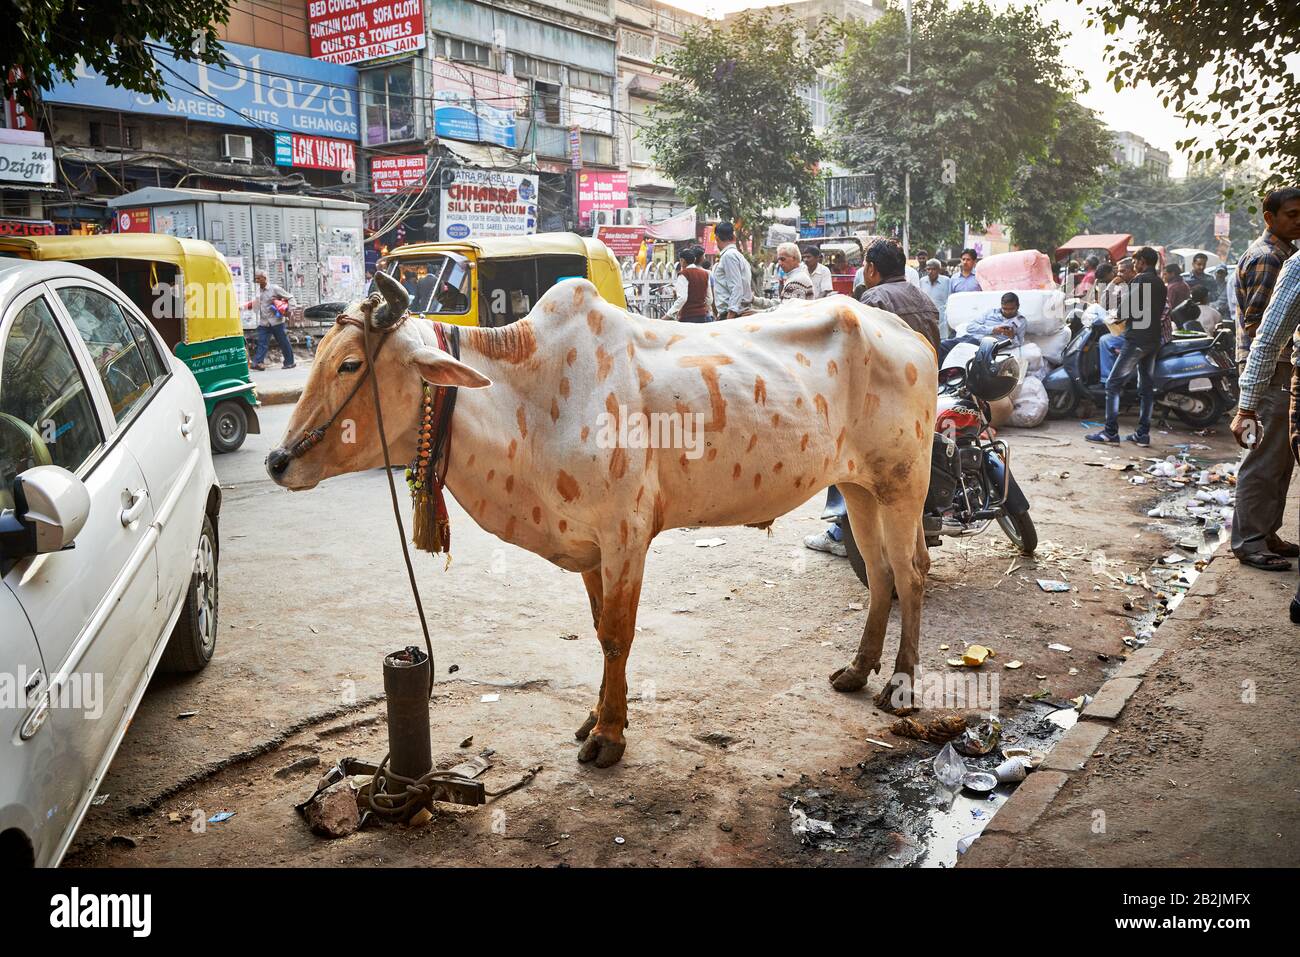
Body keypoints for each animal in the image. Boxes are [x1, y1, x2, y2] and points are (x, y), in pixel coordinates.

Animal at [266, 273, 935, 764]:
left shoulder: (625, 537)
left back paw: (900, 685)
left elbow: (617, 635)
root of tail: (910, 334)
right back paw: (858, 669)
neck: (527, 397)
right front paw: (594, 716)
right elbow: (597, 631)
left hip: (904, 483)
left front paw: (610, 734)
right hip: (858, 485)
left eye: (351, 364)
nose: (276, 461)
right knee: (879, 574)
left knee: (911, 572)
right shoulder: (588, 545)